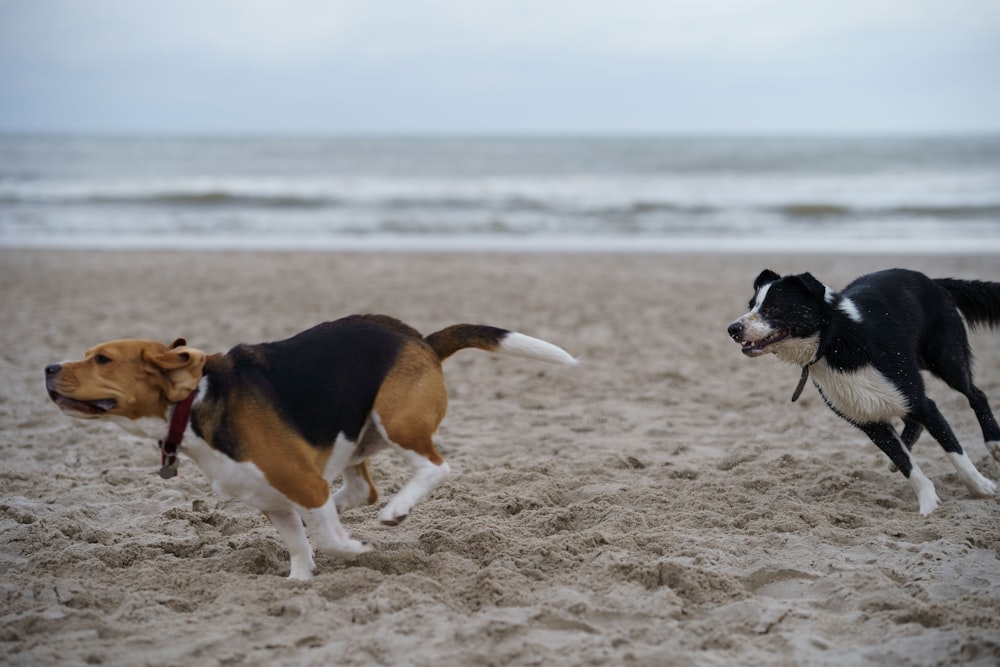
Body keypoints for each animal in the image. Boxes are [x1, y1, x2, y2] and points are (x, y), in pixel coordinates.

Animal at [45, 314, 580, 580]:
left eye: (103, 359)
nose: (49, 367)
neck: (194, 402)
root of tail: (420, 340)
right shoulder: (273, 498)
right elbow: (300, 545)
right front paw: (298, 584)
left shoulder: (300, 483)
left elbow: (327, 539)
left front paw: (355, 548)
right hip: (358, 437)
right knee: (359, 491)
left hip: (397, 420)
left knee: (434, 467)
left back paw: (396, 511)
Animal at [728, 268, 1000, 516]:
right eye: (752, 305)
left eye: (774, 306)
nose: (733, 329)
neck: (832, 342)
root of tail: (933, 281)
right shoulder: (868, 421)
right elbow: (906, 464)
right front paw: (928, 503)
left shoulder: (920, 402)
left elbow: (953, 448)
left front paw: (981, 487)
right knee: (913, 425)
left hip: (945, 358)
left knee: (976, 394)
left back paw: (994, 443)